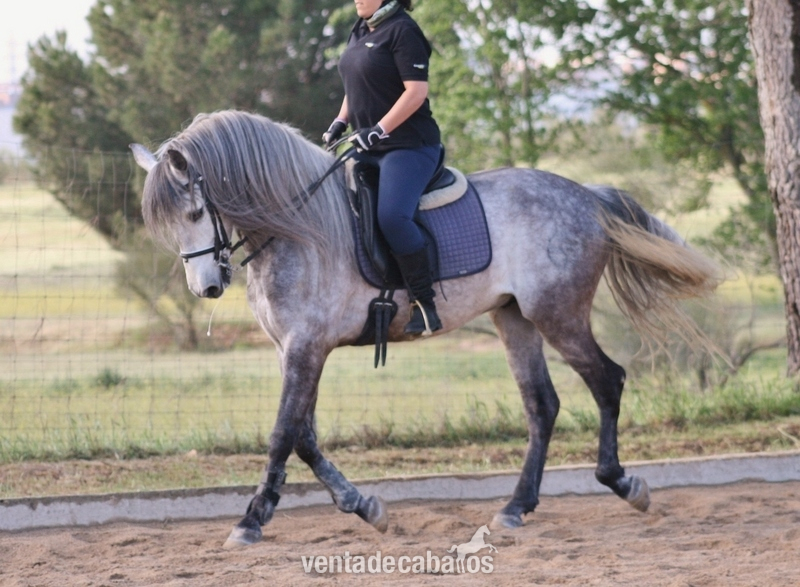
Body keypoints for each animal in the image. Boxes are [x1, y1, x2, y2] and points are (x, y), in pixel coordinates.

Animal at [130, 110, 720, 549]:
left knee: (606, 381)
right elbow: (304, 436)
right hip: (514, 316)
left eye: (193, 211)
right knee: (542, 405)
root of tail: (587, 196)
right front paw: (364, 506)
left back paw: (623, 483)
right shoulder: (293, 349)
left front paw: (251, 520)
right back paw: (515, 508)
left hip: (558, 313)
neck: (298, 228)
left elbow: (282, 434)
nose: (206, 288)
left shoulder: (306, 348)